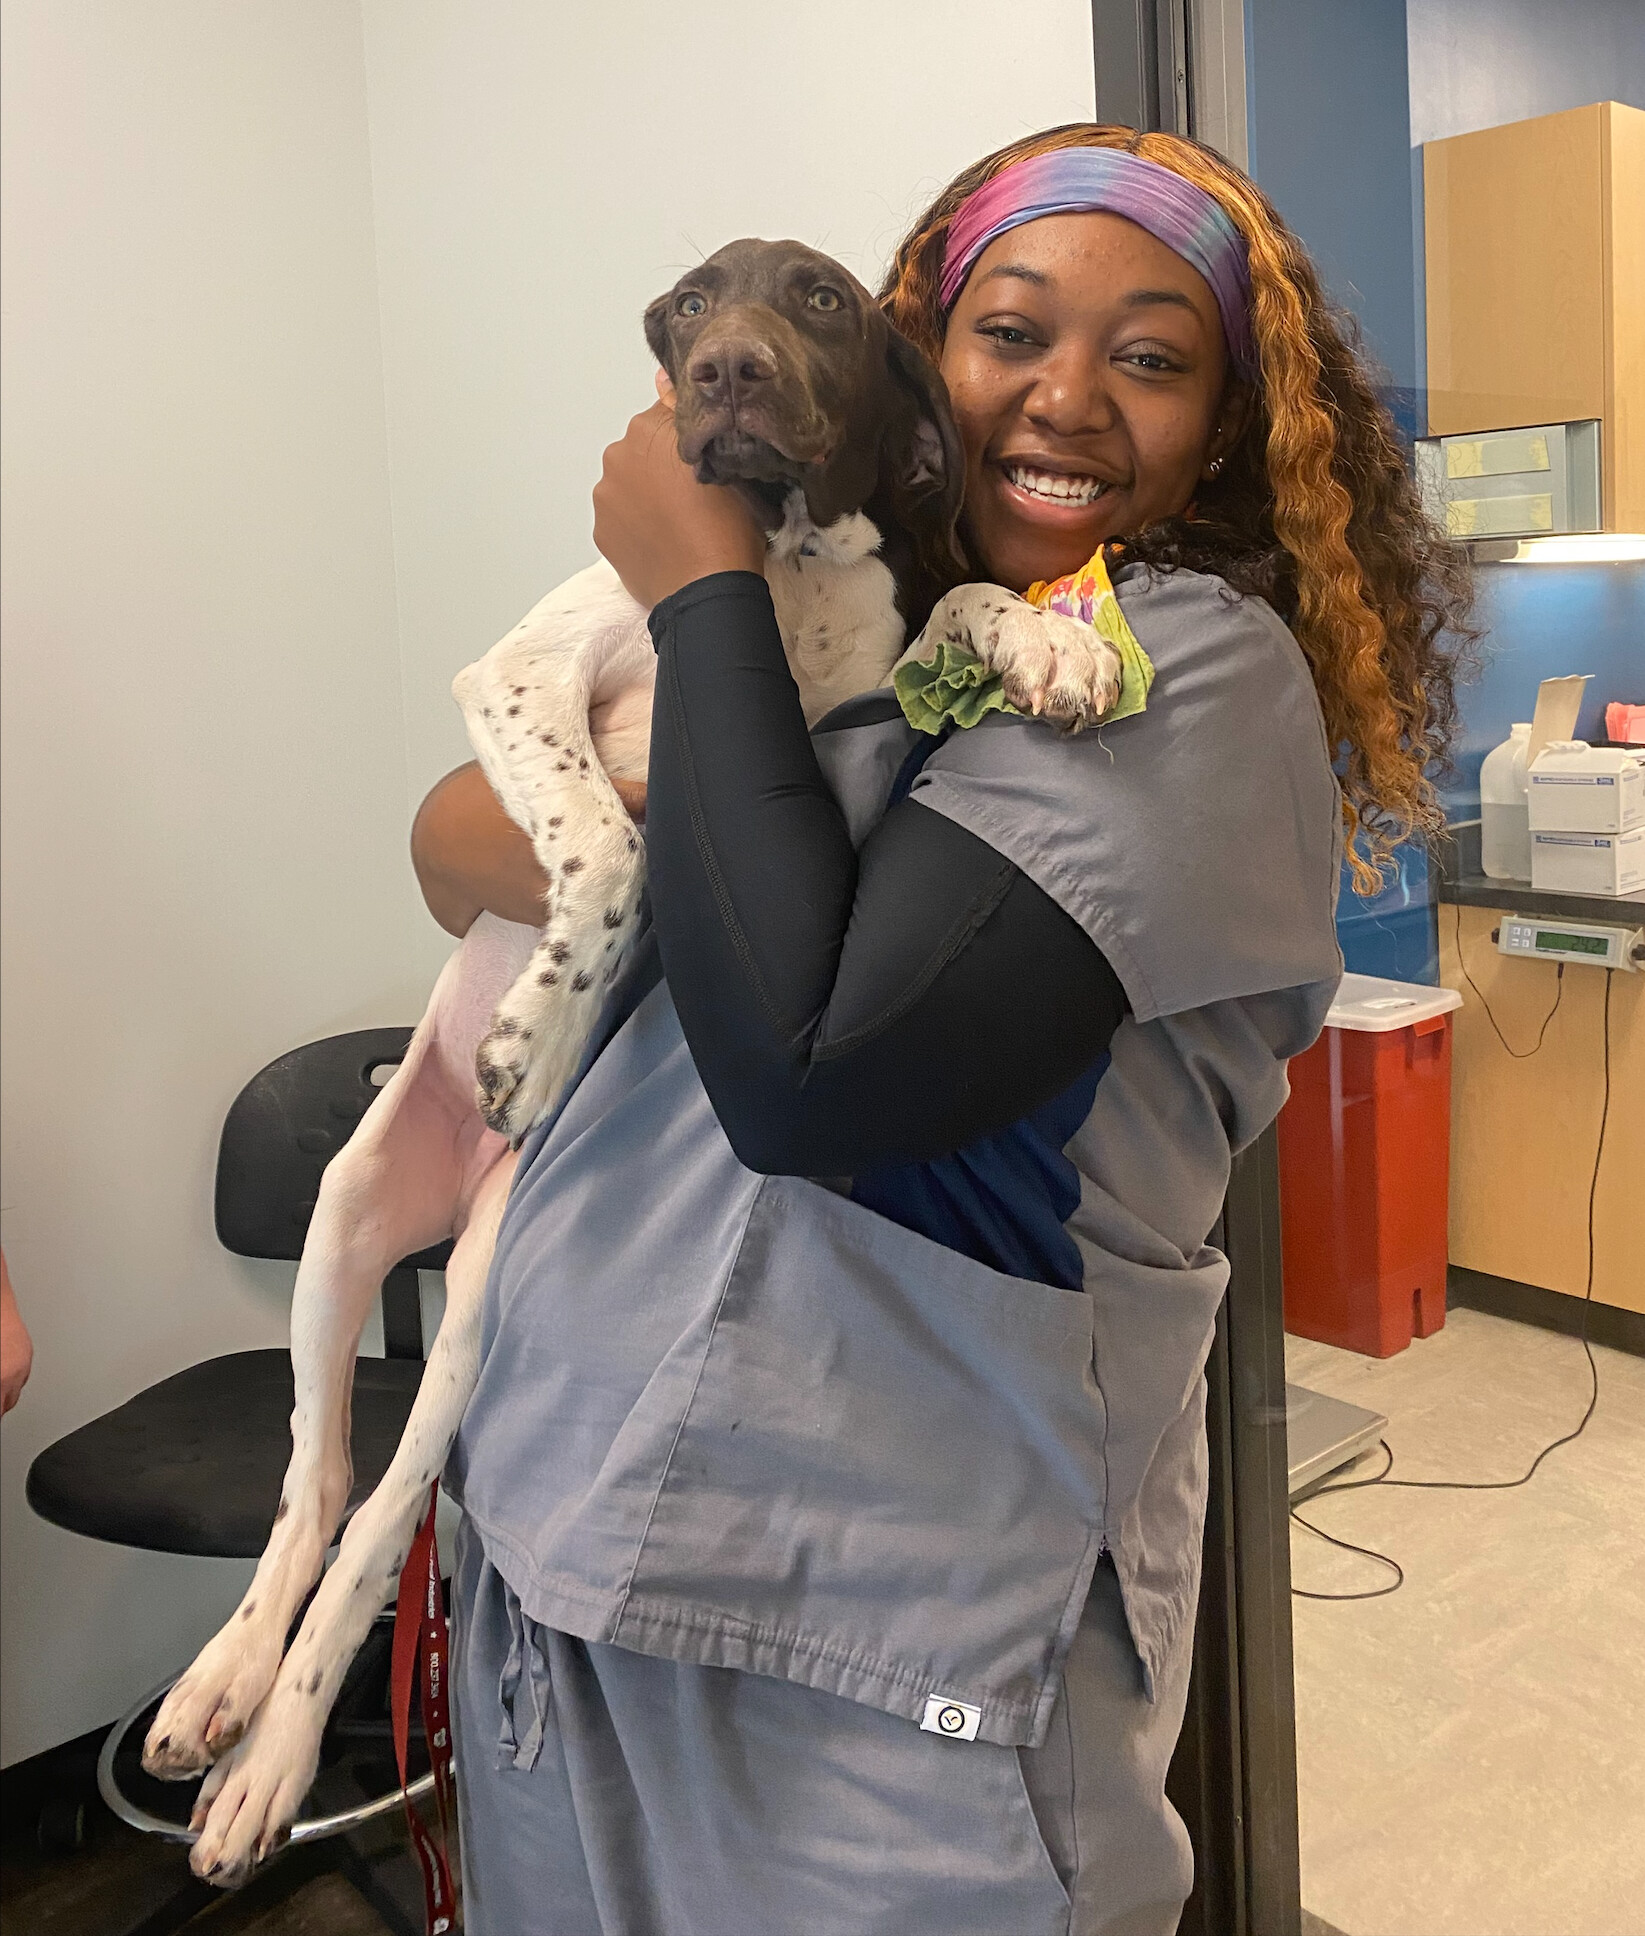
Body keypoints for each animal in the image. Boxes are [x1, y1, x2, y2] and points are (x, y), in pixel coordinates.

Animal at [143, 238, 1124, 1887]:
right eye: (684, 307)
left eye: (823, 302)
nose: (722, 374)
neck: (771, 560)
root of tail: (455, 1195)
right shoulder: (520, 677)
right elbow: (602, 833)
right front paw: (537, 1032)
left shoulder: (834, 749)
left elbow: (956, 613)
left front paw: (1045, 629)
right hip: (342, 1221)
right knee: (315, 1482)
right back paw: (233, 1705)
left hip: (475, 1296)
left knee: (376, 1513)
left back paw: (264, 1747)